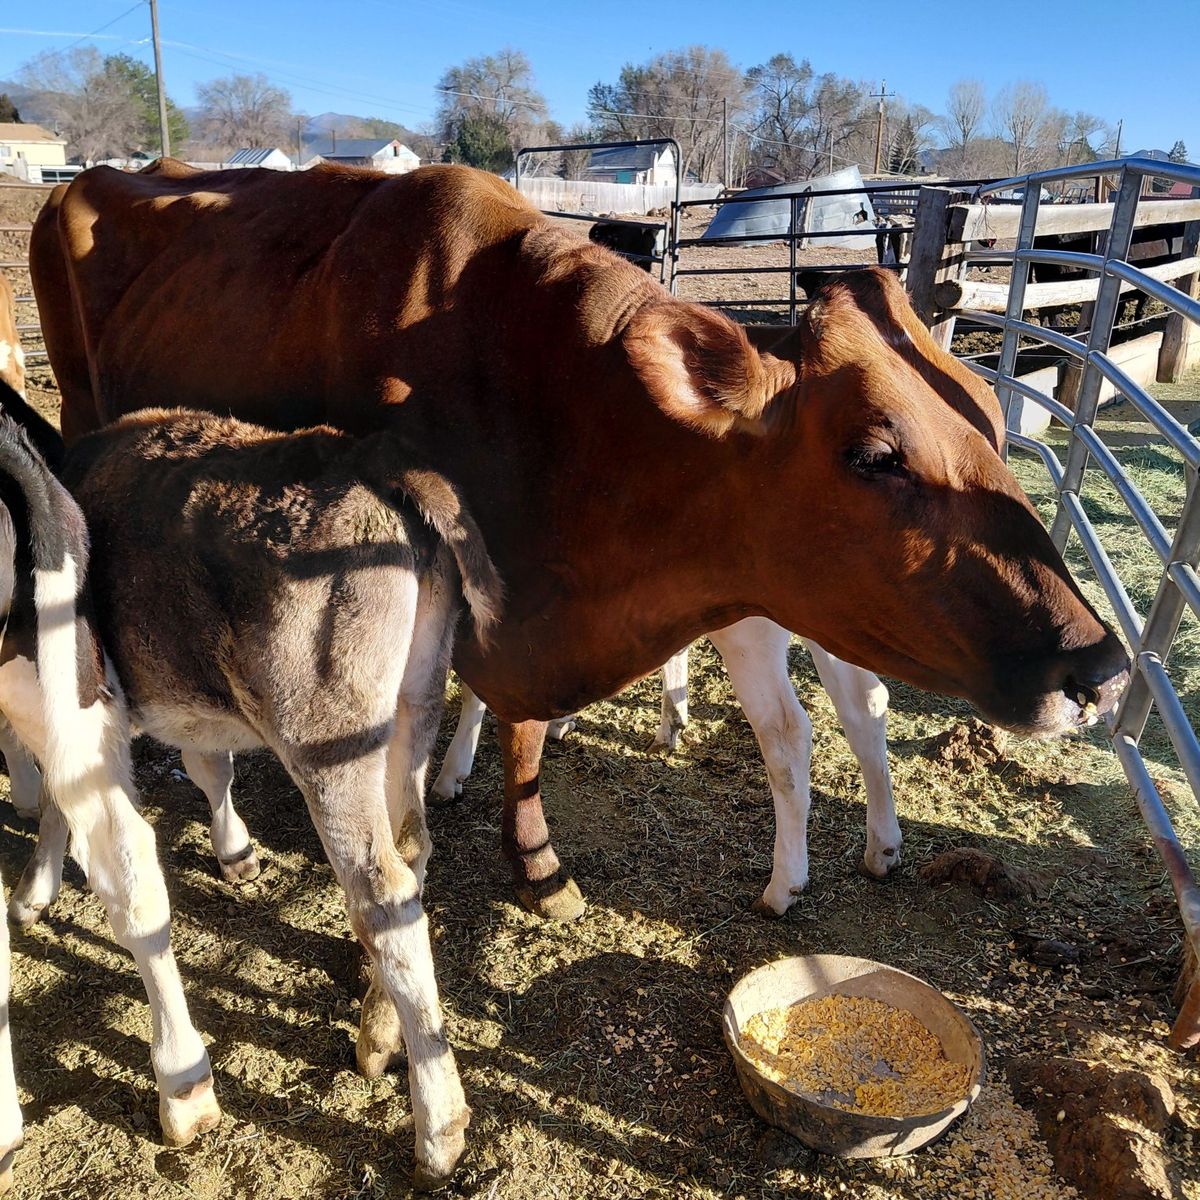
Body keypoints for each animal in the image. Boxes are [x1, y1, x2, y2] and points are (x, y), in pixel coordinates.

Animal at [0, 379, 500, 1186]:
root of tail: (377, 464)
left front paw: (33, 887)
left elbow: (60, 800)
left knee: (380, 889)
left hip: (325, 740)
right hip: (413, 703)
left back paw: (438, 1126)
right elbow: (204, 766)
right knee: (413, 849)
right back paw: (378, 1033)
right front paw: (233, 851)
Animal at [31, 162, 1129, 943]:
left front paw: (529, 854)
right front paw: (524, 850)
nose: (1103, 667)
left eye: (990, 416)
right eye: (875, 454)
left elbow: (516, 730)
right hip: (80, 412)